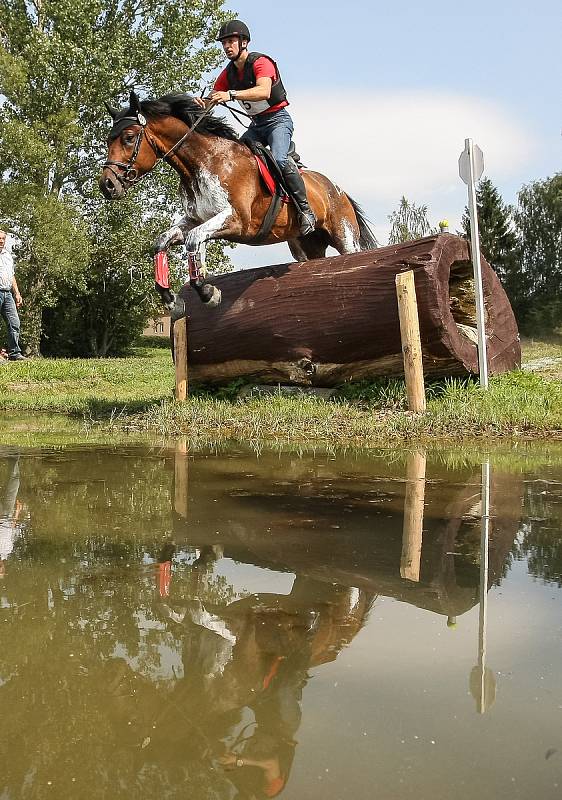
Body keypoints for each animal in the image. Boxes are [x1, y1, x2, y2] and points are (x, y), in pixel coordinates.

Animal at [99, 88, 376, 312]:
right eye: (108, 140)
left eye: (128, 138)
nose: (107, 185)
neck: (203, 161)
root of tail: (337, 189)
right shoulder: (194, 219)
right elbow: (162, 242)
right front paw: (171, 300)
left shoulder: (236, 220)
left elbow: (193, 241)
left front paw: (208, 293)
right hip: (306, 247)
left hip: (344, 236)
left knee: (351, 255)